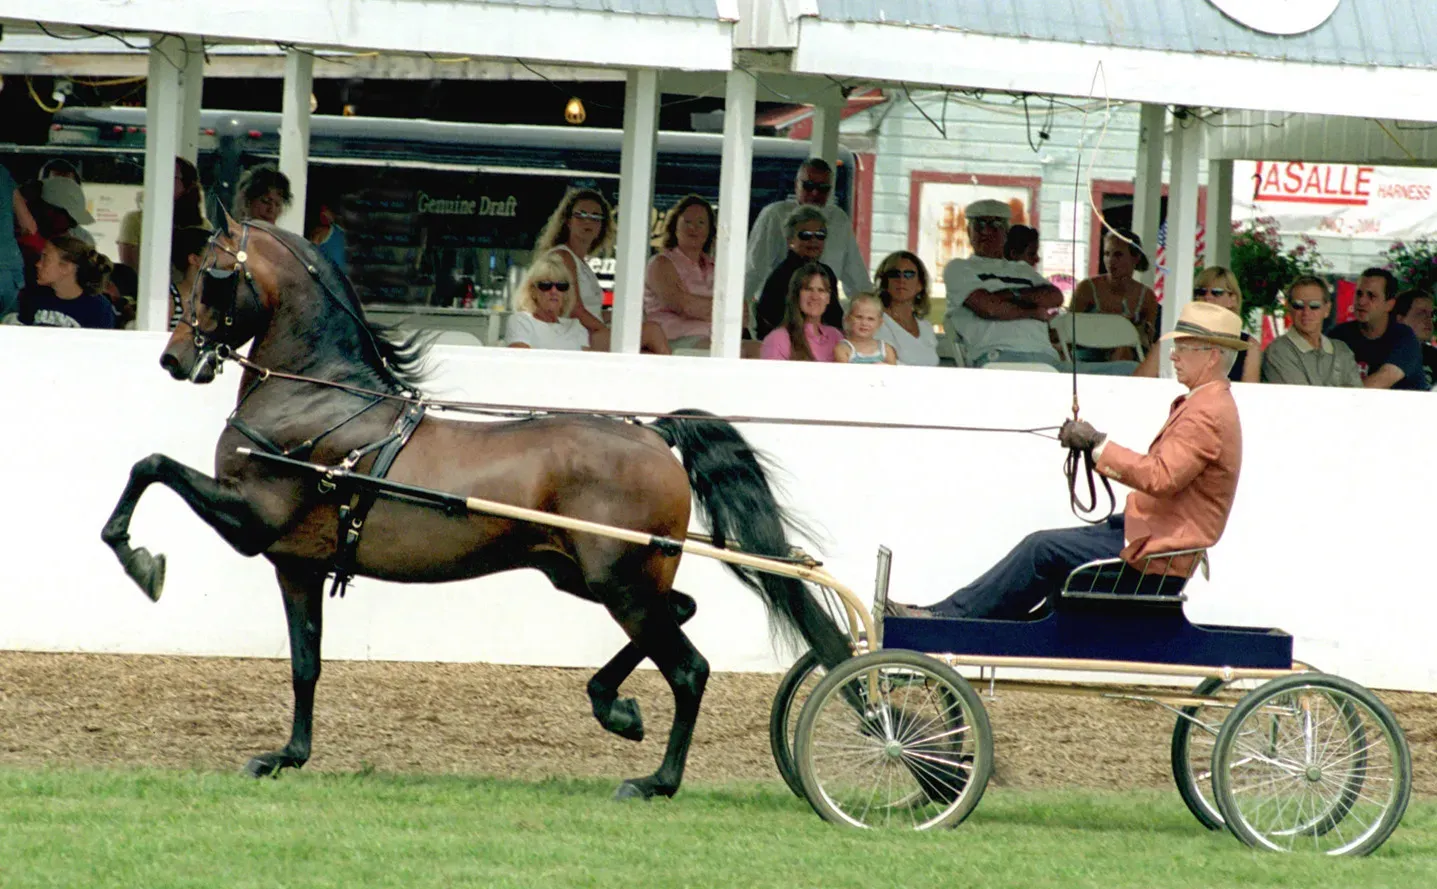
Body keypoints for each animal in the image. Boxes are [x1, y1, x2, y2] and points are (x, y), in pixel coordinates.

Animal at [99, 217, 853, 800]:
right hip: (594, 576)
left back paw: (653, 780)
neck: (318, 398)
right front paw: (287, 756)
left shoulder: (252, 519)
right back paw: (616, 708)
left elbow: (150, 467)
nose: (175, 358)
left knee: (690, 668)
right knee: (682, 613)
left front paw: (140, 562)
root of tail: (651, 434)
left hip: (618, 583)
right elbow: (306, 664)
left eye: (212, 274)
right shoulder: (297, 564)